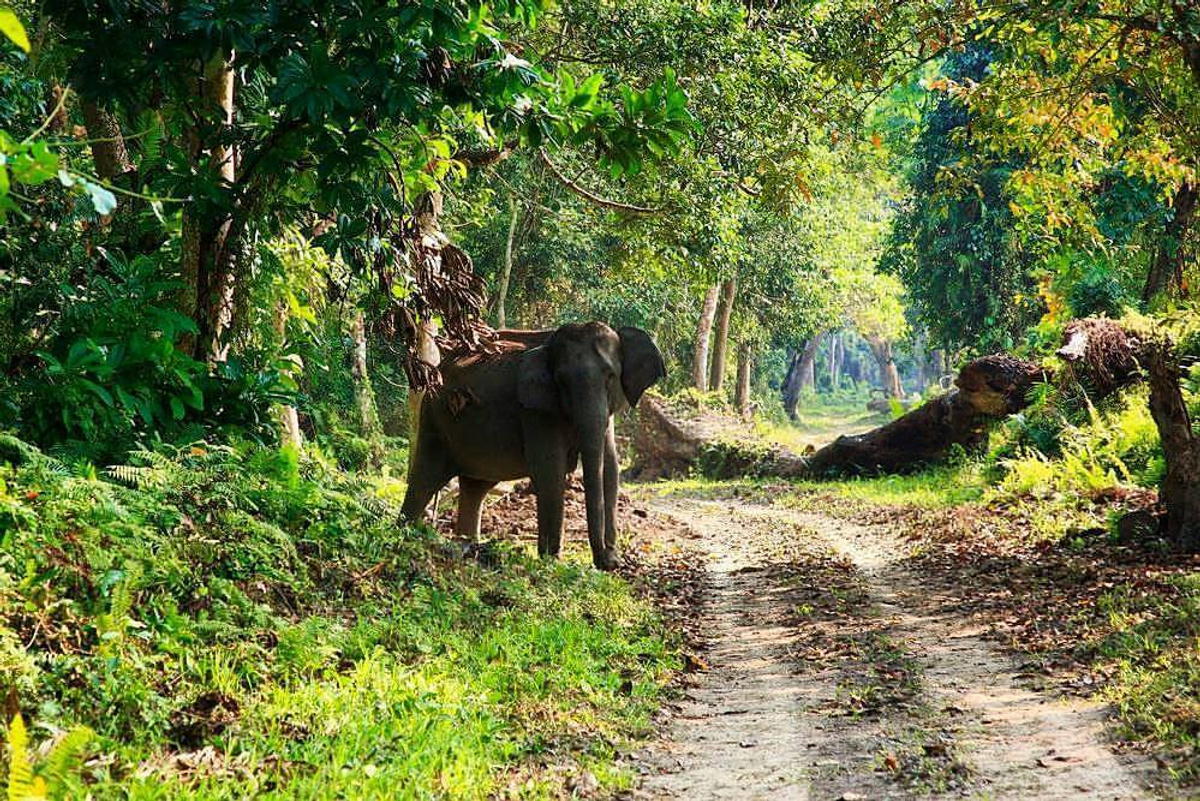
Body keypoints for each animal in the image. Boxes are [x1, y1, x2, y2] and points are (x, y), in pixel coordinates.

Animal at [400, 321, 667, 568]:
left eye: (611, 377)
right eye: (561, 381)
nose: (605, 563)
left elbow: (610, 470)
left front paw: (611, 560)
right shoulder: (535, 410)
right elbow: (550, 471)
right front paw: (552, 562)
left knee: (475, 486)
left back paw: (467, 547)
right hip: (433, 417)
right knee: (425, 477)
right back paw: (407, 534)